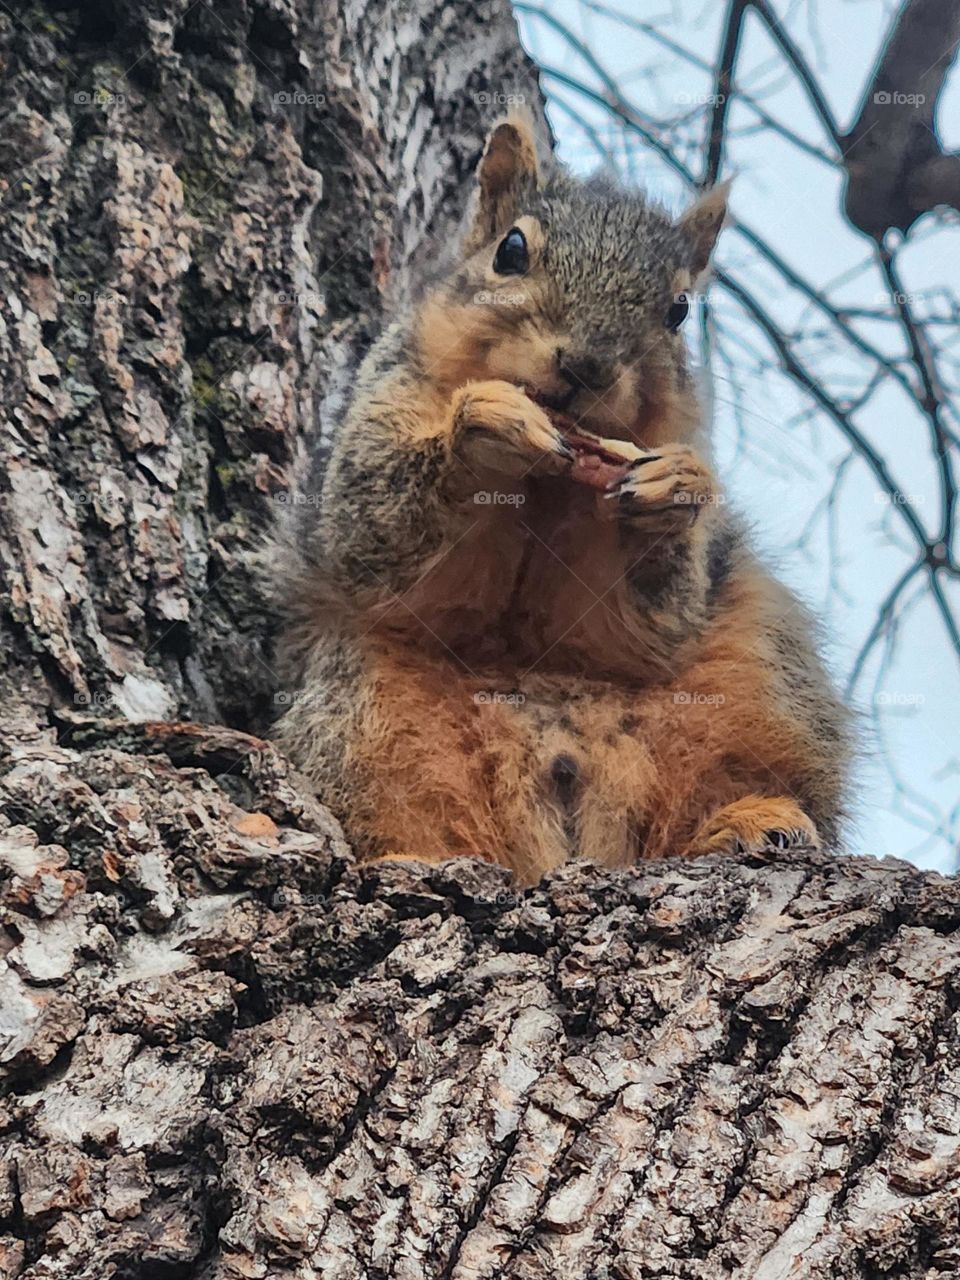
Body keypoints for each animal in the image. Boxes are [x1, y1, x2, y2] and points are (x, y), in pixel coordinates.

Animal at [269, 111, 852, 884]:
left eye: (679, 309)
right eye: (510, 250)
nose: (587, 365)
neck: (546, 487)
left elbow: (651, 622)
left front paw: (676, 491)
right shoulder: (385, 402)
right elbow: (370, 533)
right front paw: (482, 428)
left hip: (764, 692)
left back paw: (750, 820)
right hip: (363, 714)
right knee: (399, 805)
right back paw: (408, 856)